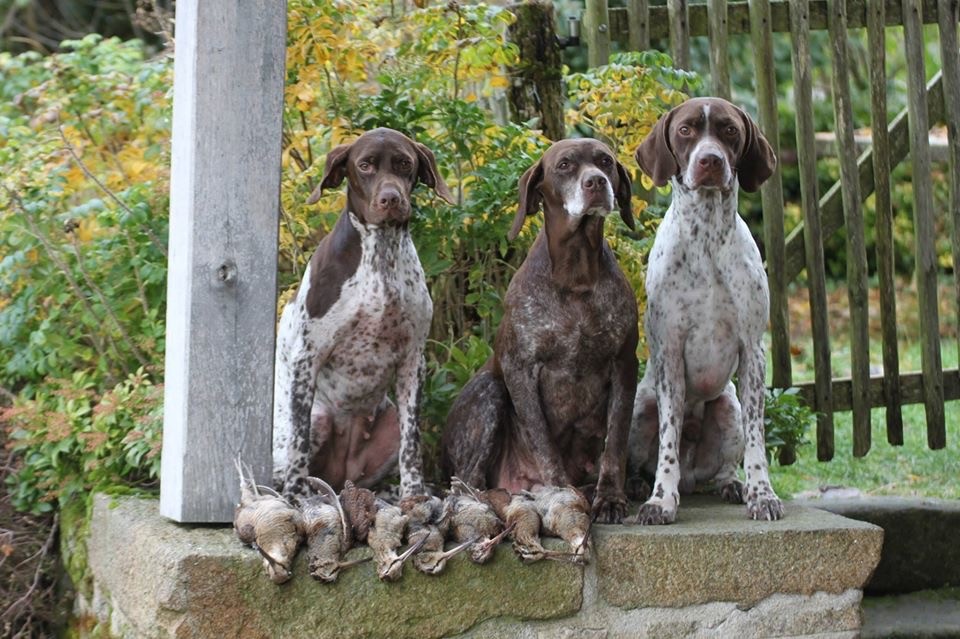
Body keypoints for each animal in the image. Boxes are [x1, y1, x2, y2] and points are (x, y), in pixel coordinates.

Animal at [274, 129, 454, 500]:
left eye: (404, 163)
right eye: (365, 165)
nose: (390, 198)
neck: (381, 256)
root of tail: (338, 479)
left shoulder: (413, 360)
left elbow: (413, 446)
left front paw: (414, 496)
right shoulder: (307, 356)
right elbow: (297, 442)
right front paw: (295, 497)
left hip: (387, 429)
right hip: (317, 420)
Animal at [440, 138, 636, 524]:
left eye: (605, 161)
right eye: (564, 165)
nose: (596, 182)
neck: (576, 275)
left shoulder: (624, 364)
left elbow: (616, 441)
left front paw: (609, 497)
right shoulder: (520, 370)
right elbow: (545, 444)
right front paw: (563, 496)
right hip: (490, 392)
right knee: (465, 484)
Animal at [628, 96, 784, 524]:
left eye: (729, 129)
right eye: (685, 130)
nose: (710, 160)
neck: (707, 239)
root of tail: (693, 478)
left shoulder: (753, 350)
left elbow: (757, 440)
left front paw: (762, 494)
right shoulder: (669, 352)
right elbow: (667, 439)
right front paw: (661, 500)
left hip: (727, 406)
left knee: (726, 464)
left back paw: (732, 485)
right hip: (639, 409)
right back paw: (638, 485)